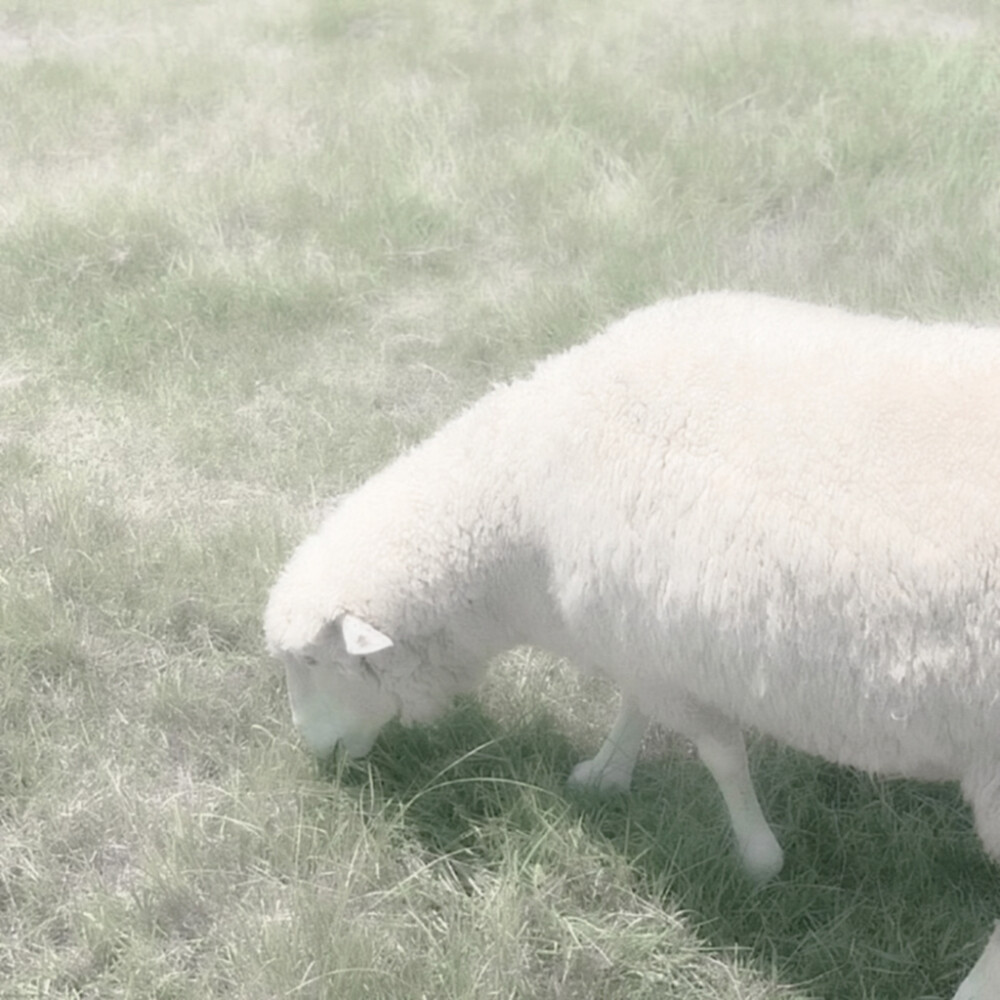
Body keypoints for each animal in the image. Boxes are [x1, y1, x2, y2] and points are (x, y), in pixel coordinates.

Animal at [264, 292, 1000, 996]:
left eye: (313, 659)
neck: (527, 511)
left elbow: (721, 757)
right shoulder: (636, 640)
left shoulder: (670, 658)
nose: (315, 752)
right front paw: (606, 773)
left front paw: (758, 857)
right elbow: (633, 709)